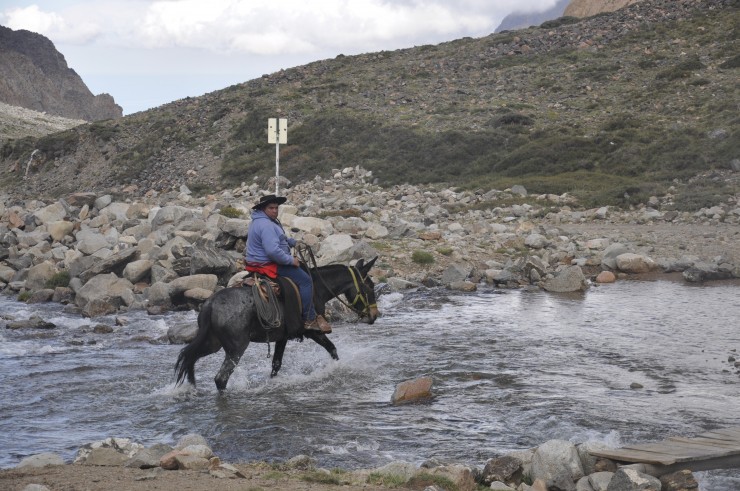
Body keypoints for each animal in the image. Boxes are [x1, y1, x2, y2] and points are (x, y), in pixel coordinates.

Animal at [176, 258, 378, 392]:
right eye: (370, 286)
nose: (374, 316)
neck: (317, 288)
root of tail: (210, 305)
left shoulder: (283, 337)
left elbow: (276, 364)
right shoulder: (313, 331)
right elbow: (332, 349)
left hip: (212, 343)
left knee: (190, 358)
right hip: (236, 348)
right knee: (220, 378)